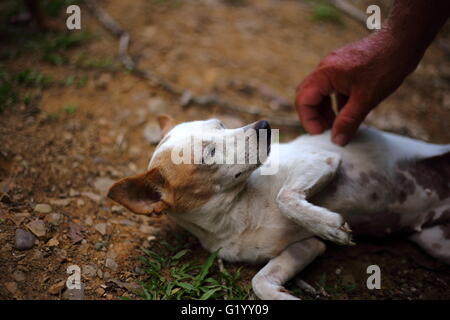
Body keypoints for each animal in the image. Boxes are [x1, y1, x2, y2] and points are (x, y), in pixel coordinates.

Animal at [107, 115, 448, 300]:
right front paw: (282, 294)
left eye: (220, 124)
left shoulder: (322, 161)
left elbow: (286, 198)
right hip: (434, 242)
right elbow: (260, 280)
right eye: (209, 153)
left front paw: (330, 225)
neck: (239, 211)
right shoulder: (307, 247)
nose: (264, 124)